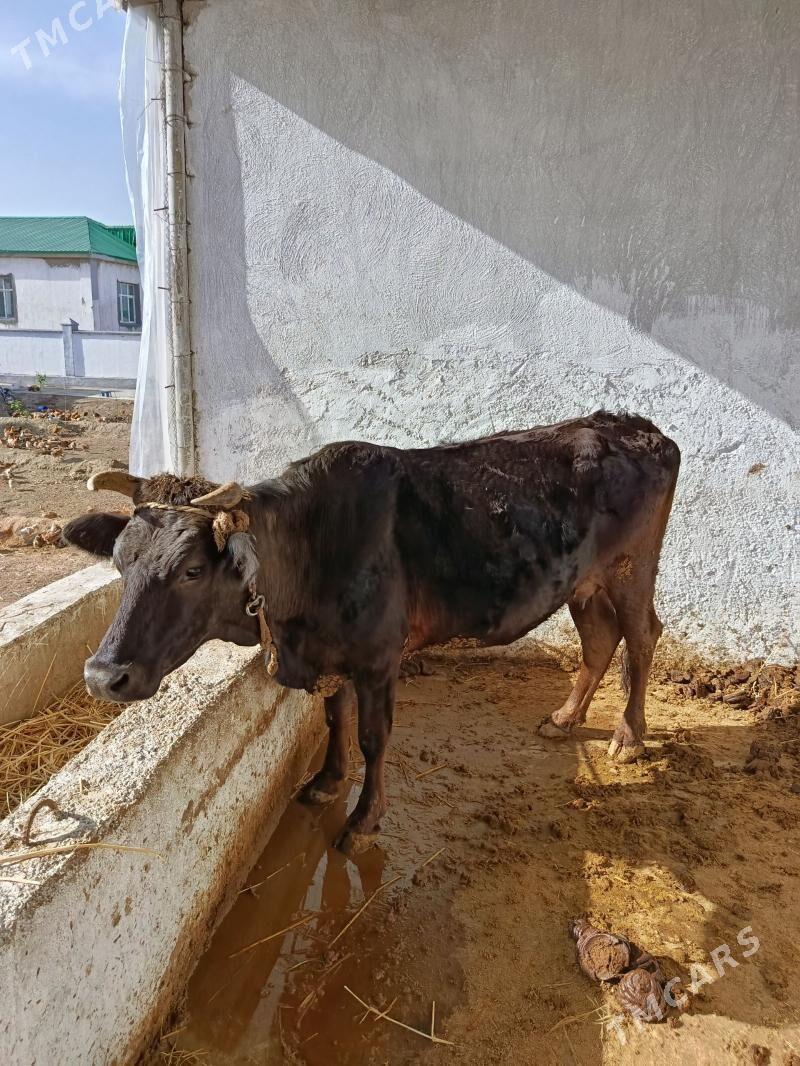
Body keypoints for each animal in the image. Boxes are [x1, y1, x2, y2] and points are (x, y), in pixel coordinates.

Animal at [62, 411, 680, 854]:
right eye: (119, 561)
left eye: (192, 569)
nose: (102, 675)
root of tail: (632, 425)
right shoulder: (330, 655)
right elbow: (335, 718)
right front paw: (327, 781)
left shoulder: (380, 658)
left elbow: (373, 736)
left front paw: (363, 820)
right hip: (583, 582)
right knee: (599, 640)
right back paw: (565, 718)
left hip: (632, 569)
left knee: (642, 636)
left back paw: (629, 736)